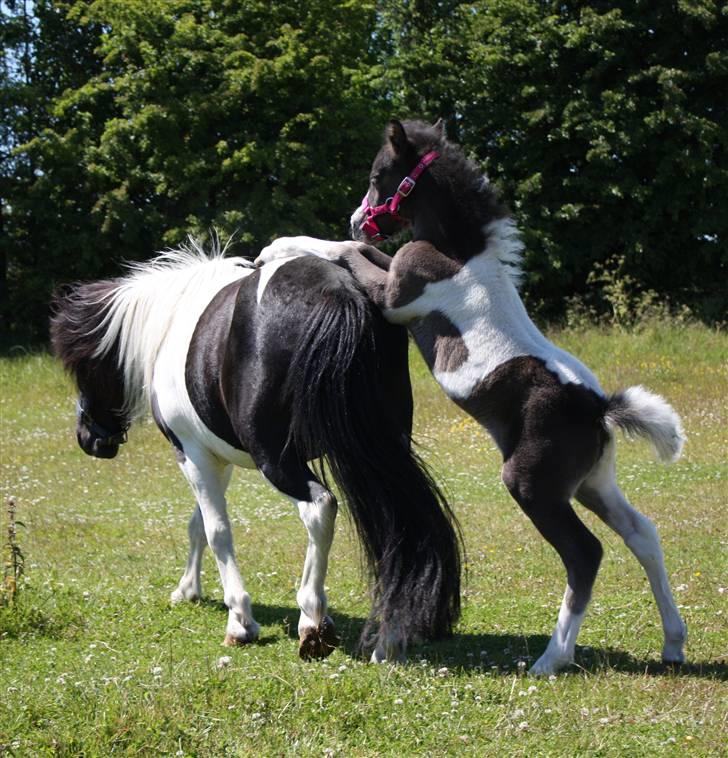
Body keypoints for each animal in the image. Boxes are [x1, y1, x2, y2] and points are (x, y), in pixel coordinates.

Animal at [51, 240, 460, 664]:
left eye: (80, 368)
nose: (90, 440)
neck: (170, 323)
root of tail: (338, 290)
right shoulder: (218, 457)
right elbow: (198, 524)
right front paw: (187, 590)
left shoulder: (192, 453)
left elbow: (217, 531)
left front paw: (240, 621)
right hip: (381, 451)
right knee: (400, 522)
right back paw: (390, 637)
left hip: (277, 460)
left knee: (320, 508)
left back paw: (313, 620)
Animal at [256, 119, 688, 676]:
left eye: (378, 175)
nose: (358, 220)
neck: (458, 250)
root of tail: (598, 408)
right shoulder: (393, 269)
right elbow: (363, 254)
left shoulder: (395, 294)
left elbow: (346, 254)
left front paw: (278, 248)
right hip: (592, 482)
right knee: (643, 535)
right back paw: (673, 642)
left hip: (534, 487)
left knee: (585, 553)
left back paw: (552, 658)